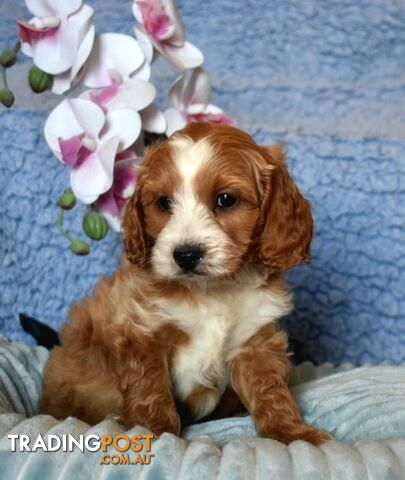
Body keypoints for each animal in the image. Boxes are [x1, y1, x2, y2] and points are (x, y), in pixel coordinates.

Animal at [40, 124, 332, 446]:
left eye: (226, 199)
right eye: (163, 202)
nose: (186, 255)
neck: (213, 289)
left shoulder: (253, 342)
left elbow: (271, 392)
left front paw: (293, 433)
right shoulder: (142, 333)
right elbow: (151, 391)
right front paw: (155, 433)